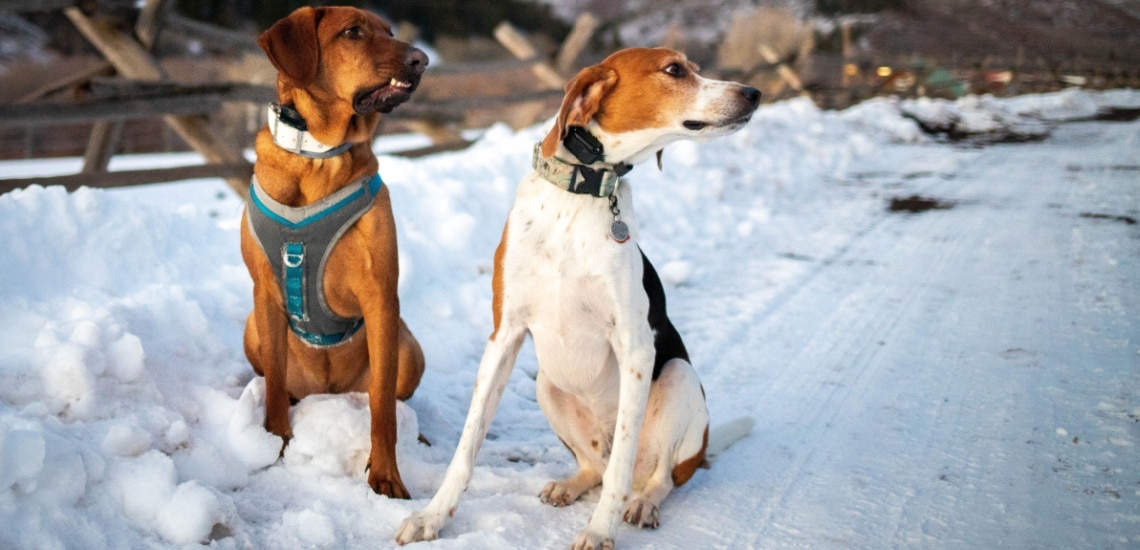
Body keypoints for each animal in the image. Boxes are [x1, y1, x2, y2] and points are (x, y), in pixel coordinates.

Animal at [243, 6, 428, 499]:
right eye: (352, 32)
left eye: (389, 31)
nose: (422, 59)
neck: (317, 155)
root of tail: (328, 392)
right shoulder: (265, 291)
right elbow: (273, 386)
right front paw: (274, 442)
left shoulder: (380, 297)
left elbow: (383, 408)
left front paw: (385, 475)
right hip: (252, 328)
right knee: (276, 380)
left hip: (409, 348)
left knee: (396, 399)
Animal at [396, 48, 761, 550]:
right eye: (674, 70)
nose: (753, 93)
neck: (581, 193)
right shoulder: (504, 336)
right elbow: (467, 447)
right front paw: (432, 516)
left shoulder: (636, 349)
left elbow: (622, 465)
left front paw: (601, 529)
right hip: (548, 384)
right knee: (595, 468)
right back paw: (569, 486)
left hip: (677, 376)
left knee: (655, 476)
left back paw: (642, 503)